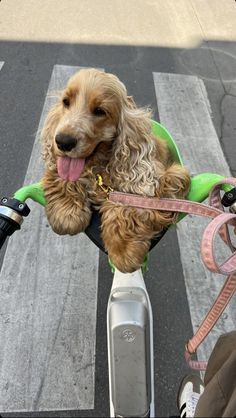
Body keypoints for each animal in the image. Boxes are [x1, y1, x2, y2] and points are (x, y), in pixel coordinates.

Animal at [41, 68, 191, 272]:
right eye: (66, 102)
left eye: (100, 111)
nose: (63, 142)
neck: (99, 168)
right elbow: (63, 177)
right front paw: (67, 214)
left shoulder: (164, 181)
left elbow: (125, 204)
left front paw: (124, 251)